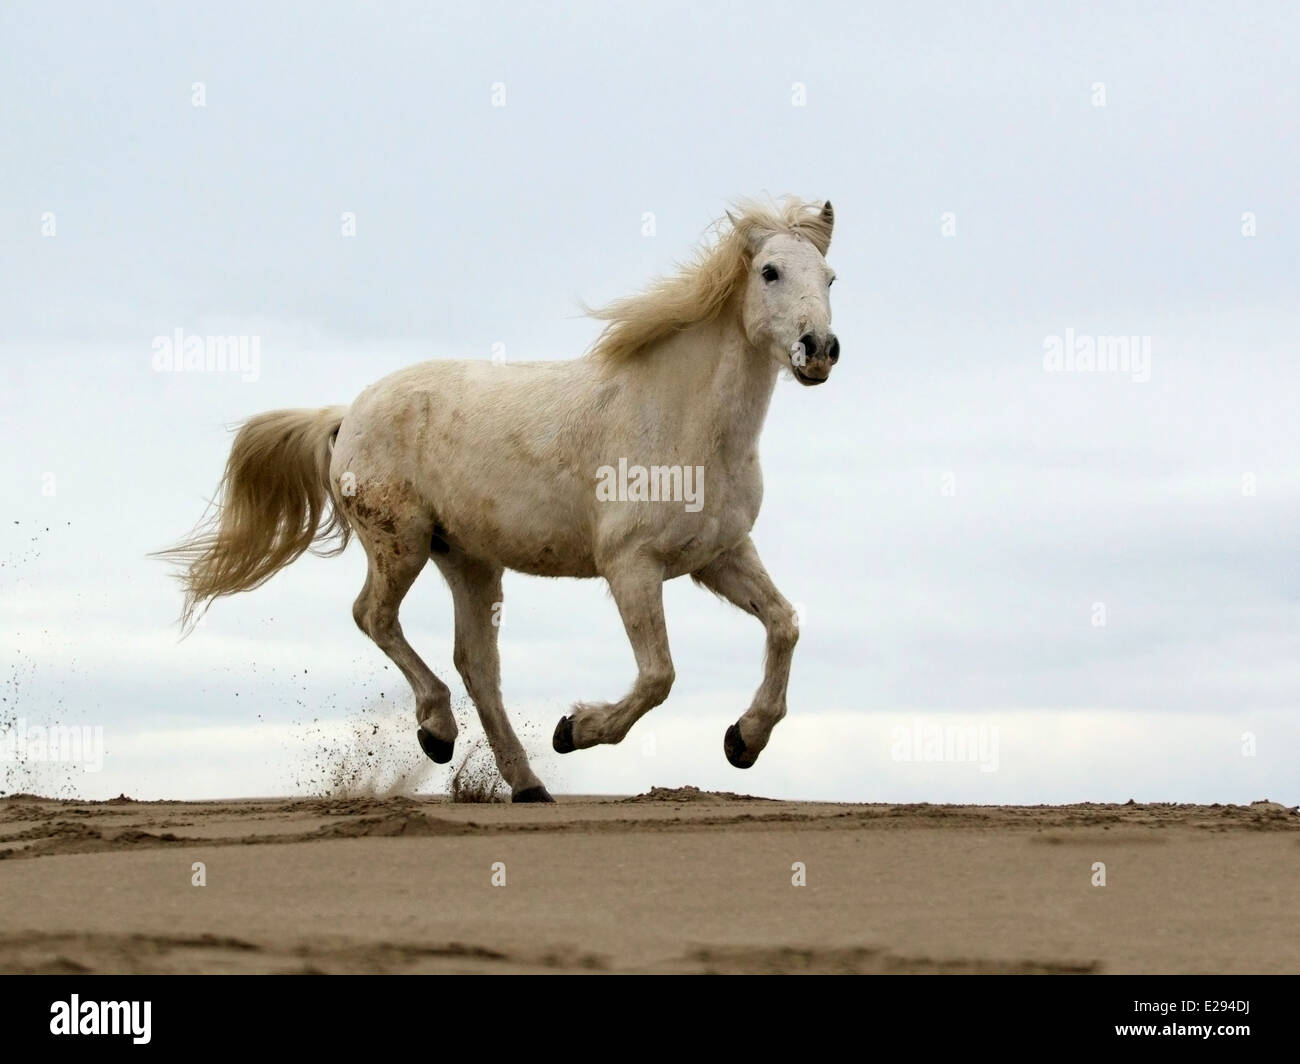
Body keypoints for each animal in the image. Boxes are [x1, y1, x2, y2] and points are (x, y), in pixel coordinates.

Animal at [162, 199, 837, 801]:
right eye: (770, 272)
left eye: (830, 277)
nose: (820, 349)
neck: (683, 419)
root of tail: (347, 414)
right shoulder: (631, 565)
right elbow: (659, 676)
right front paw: (574, 730)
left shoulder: (720, 555)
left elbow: (784, 624)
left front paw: (744, 741)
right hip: (401, 544)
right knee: (375, 618)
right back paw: (438, 732)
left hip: (469, 561)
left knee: (476, 666)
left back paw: (526, 784)